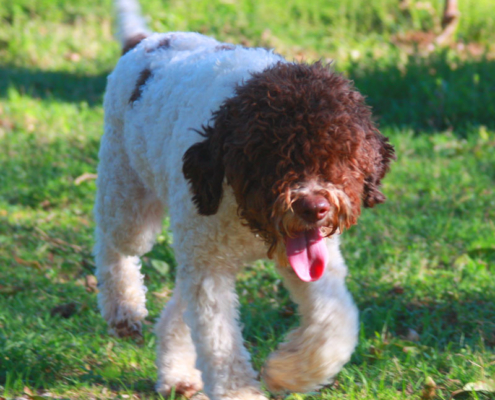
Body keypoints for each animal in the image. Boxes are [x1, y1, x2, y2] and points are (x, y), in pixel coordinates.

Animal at [93, 0, 396, 400]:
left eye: (341, 155)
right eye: (271, 158)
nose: (313, 208)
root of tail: (146, 41)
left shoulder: (314, 261)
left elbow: (335, 326)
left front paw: (285, 372)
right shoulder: (210, 271)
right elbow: (221, 345)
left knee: (176, 303)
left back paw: (176, 373)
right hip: (128, 194)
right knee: (113, 243)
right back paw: (124, 309)